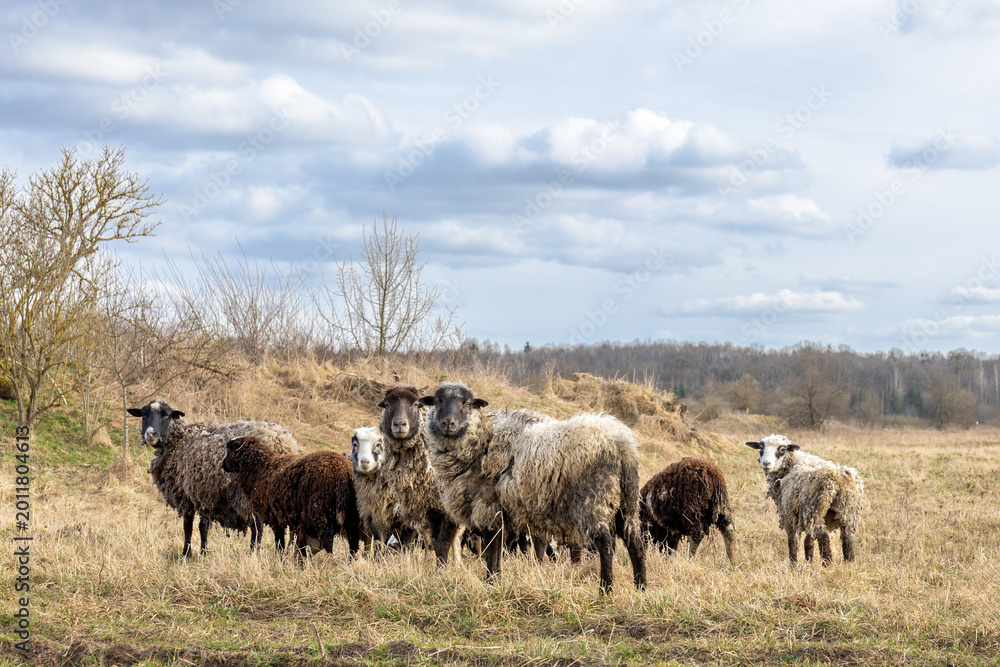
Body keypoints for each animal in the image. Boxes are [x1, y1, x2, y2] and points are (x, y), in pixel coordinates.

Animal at [127, 400, 299, 557]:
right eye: (144, 414)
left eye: (166, 415)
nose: (150, 434)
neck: (181, 440)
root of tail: (283, 443)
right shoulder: (205, 495)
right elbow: (203, 527)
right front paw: (203, 553)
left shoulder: (186, 496)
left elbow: (188, 527)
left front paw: (186, 554)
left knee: (258, 526)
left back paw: (254, 554)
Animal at [222, 434, 362, 559]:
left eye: (230, 449)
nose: (223, 465)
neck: (262, 469)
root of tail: (344, 472)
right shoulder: (294, 519)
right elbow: (294, 542)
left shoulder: (276, 517)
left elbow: (280, 543)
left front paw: (279, 560)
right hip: (352, 514)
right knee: (353, 541)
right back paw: (351, 562)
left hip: (321, 513)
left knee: (328, 541)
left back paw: (328, 563)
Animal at [376, 385, 461, 564]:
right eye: (386, 405)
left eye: (416, 404)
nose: (400, 424)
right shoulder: (417, 506)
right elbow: (415, 542)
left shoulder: (446, 510)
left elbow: (443, 543)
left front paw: (442, 569)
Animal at [420, 381, 646, 594]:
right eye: (438, 401)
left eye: (466, 403)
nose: (448, 423)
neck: (481, 443)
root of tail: (621, 444)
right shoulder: (498, 512)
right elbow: (497, 550)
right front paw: (496, 582)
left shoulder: (488, 506)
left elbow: (490, 549)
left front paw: (491, 582)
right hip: (626, 501)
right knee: (635, 543)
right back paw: (641, 588)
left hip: (594, 499)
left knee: (606, 544)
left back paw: (605, 589)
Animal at [746, 434, 864, 566]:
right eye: (761, 448)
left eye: (782, 450)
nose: (766, 464)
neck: (791, 464)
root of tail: (835, 478)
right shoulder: (805, 517)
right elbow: (808, 541)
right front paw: (809, 562)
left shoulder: (788, 514)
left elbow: (792, 542)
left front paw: (793, 565)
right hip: (848, 512)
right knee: (848, 539)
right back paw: (849, 564)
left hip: (815, 509)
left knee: (823, 536)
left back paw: (828, 565)